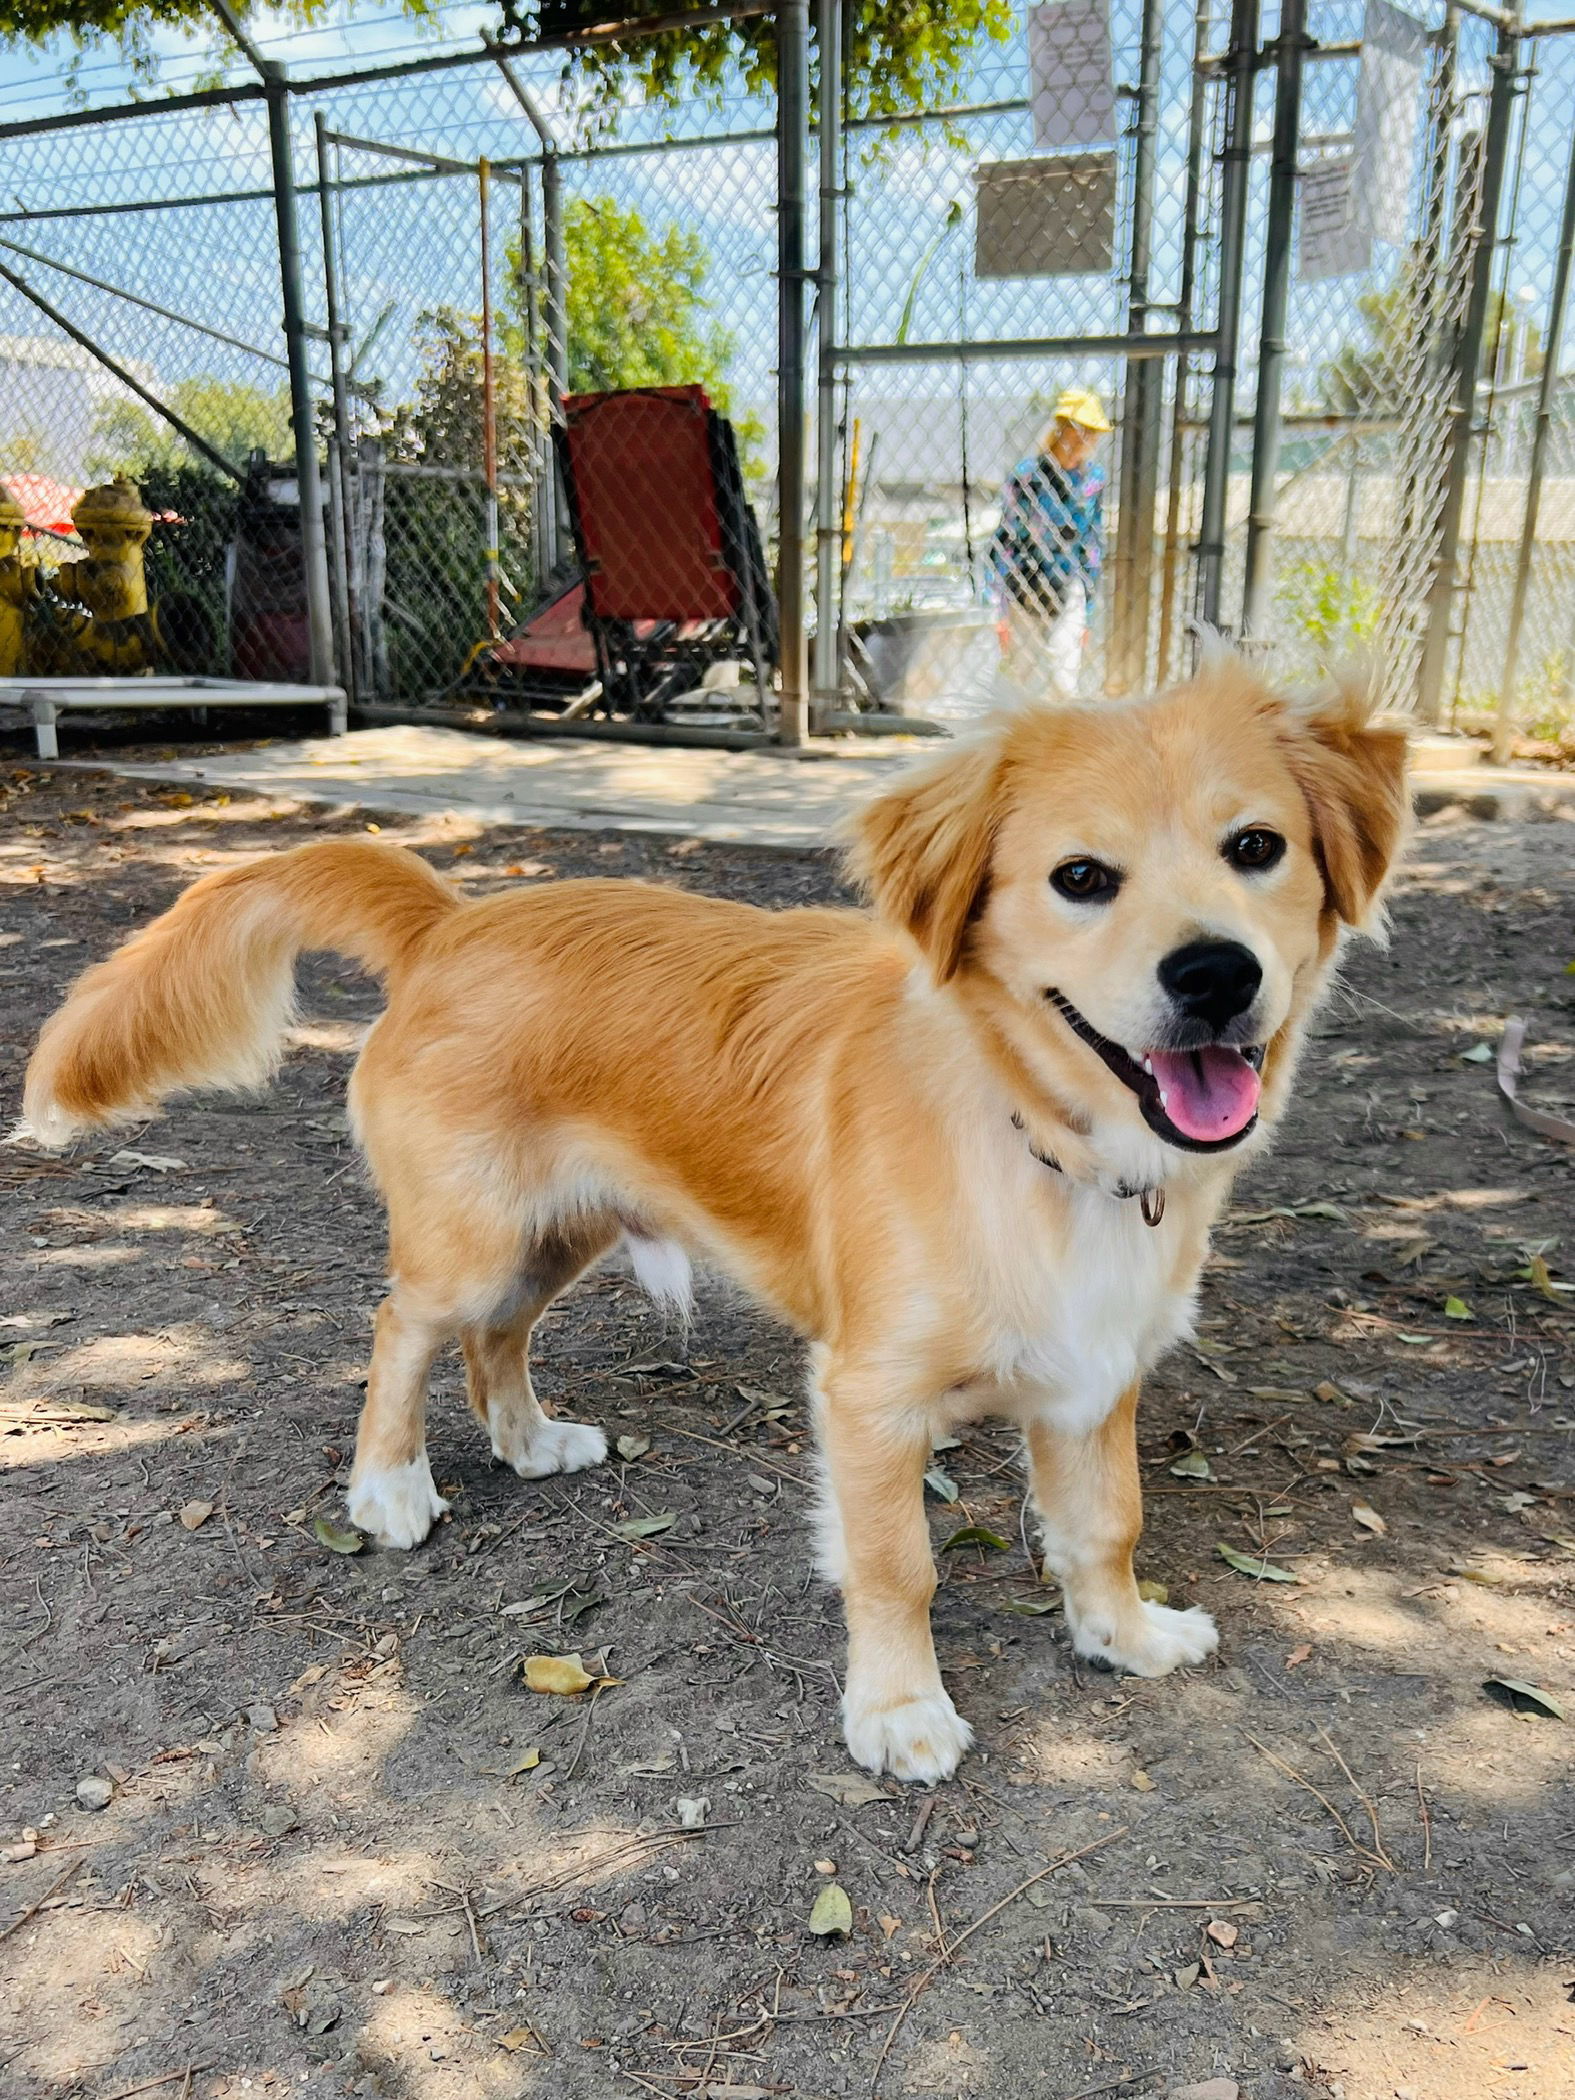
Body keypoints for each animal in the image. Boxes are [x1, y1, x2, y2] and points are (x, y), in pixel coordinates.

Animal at [21, 663, 1402, 1780]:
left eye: (1257, 847)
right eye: (1079, 878)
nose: (1216, 975)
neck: (1041, 1136)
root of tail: (453, 919)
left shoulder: (1091, 1376)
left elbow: (1106, 1524)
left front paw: (1122, 1635)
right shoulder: (868, 1396)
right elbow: (897, 1563)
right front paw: (898, 1712)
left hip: (561, 1235)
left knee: (494, 1340)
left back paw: (529, 1442)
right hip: (473, 1242)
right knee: (402, 1329)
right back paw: (389, 1488)